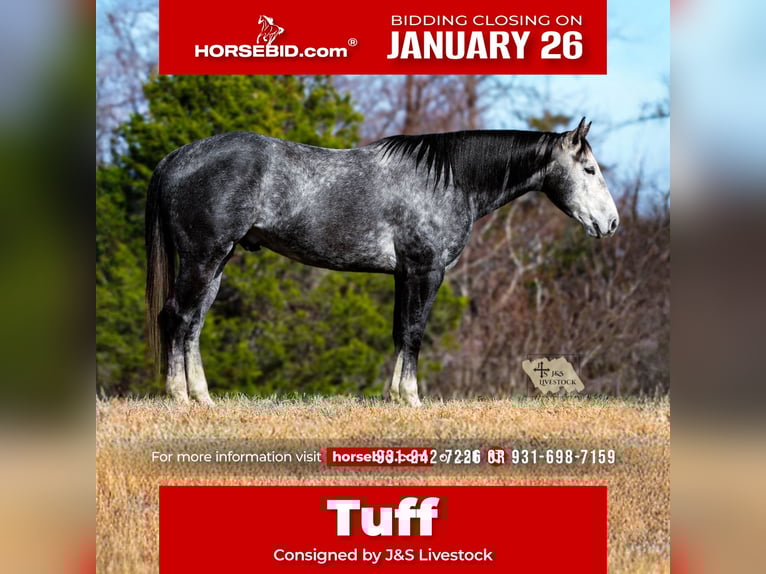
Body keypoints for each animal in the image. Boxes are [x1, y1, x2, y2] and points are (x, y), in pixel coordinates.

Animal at [145, 118, 619, 407]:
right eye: (590, 169)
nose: (611, 223)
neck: (448, 179)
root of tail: (176, 157)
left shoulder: (404, 274)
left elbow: (399, 332)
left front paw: (394, 396)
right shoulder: (425, 271)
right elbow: (414, 332)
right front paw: (411, 397)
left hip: (217, 262)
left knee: (194, 323)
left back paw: (203, 397)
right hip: (202, 258)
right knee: (176, 316)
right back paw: (178, 395)